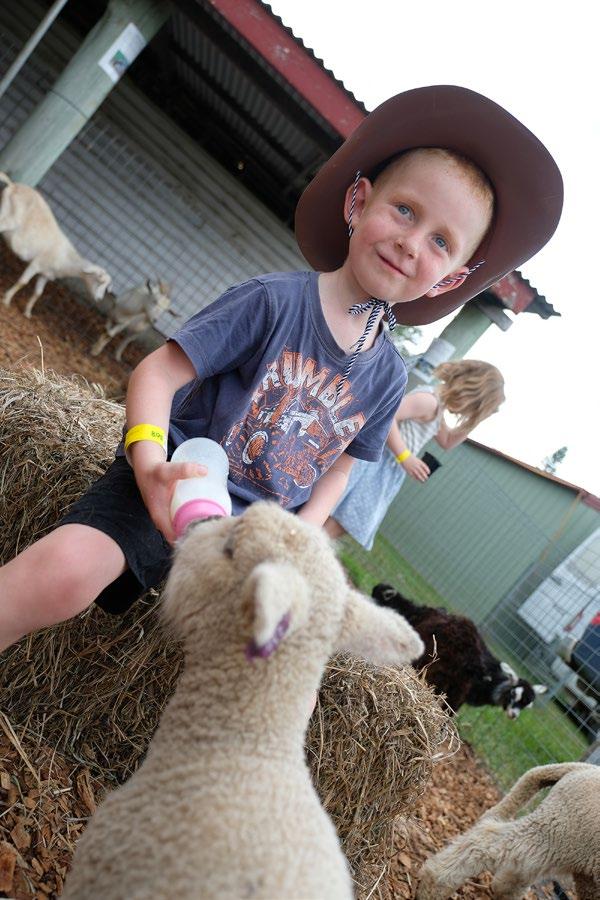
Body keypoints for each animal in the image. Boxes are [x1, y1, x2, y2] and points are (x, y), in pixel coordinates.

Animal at [0, 172, 111, 317]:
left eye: (107, 287)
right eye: (99, 279)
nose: (99, 299)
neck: (66, 259)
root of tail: (13, 186)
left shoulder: (45, 274)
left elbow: (38, 293)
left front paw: (28, 313)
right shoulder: (36, 264)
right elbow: (23, 282)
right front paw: (7, 300)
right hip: (7, 219)